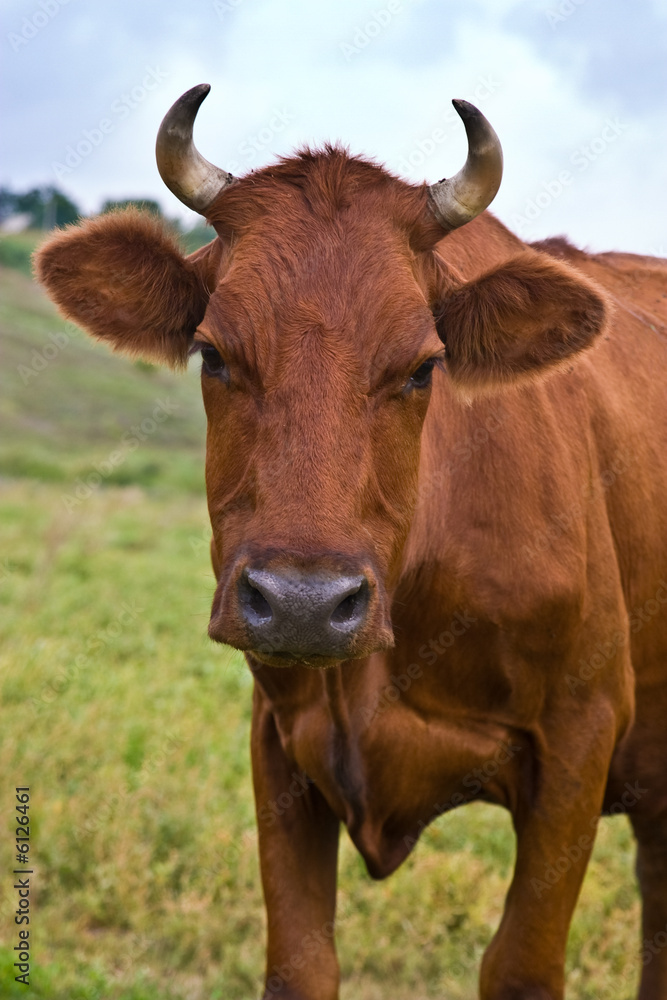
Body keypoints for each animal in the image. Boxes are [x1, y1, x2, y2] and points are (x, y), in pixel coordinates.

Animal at [36, 86, 667, 1000]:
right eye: (212, 354)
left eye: (422, 367)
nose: (303, 604)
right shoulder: (280, 741)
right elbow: (299, 962)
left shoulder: (578, 740)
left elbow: (519, 964)